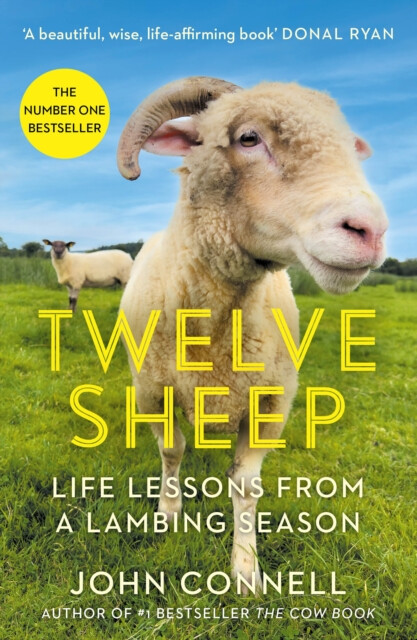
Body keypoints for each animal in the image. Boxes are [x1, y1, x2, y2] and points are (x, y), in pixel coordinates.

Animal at [117, 76, 388, 592]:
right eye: (247, 138)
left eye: (349, 147)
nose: (370, 230)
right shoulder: (153, 390)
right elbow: (171, 449)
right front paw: (168, 513)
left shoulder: (272, 401)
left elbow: (245, 483)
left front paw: (245, 570)